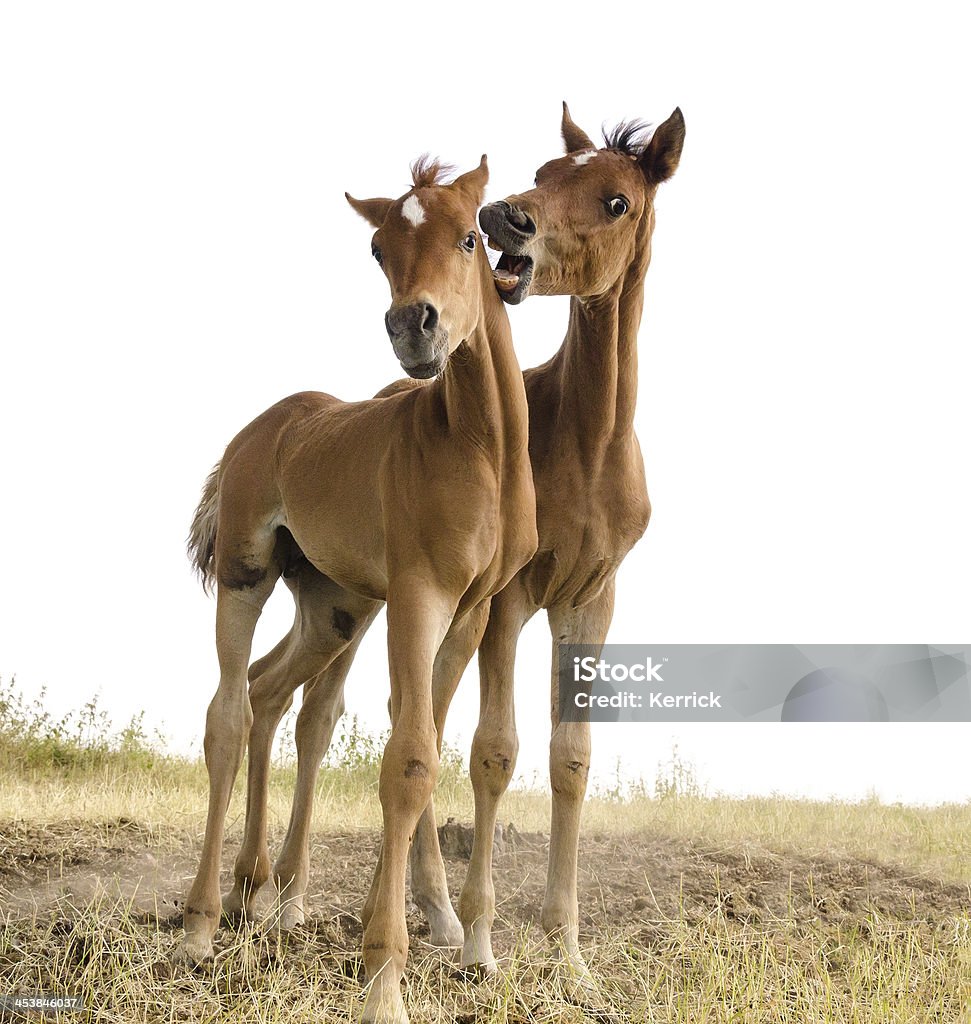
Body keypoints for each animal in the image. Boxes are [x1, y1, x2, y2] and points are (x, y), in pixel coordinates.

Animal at [176, 153, 536, 1024]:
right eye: (377, 250)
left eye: (470, 236)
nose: (413, 327)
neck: (482, 449)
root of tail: (253, 432)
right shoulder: (418, 596)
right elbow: (407, 759)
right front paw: (382, 981)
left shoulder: (472, 612)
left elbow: (435, 745)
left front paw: (467, 950)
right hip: (246, 575)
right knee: (227, 716)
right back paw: (202, 925)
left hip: (332, 606)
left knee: (270, 693)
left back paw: (254, 895)